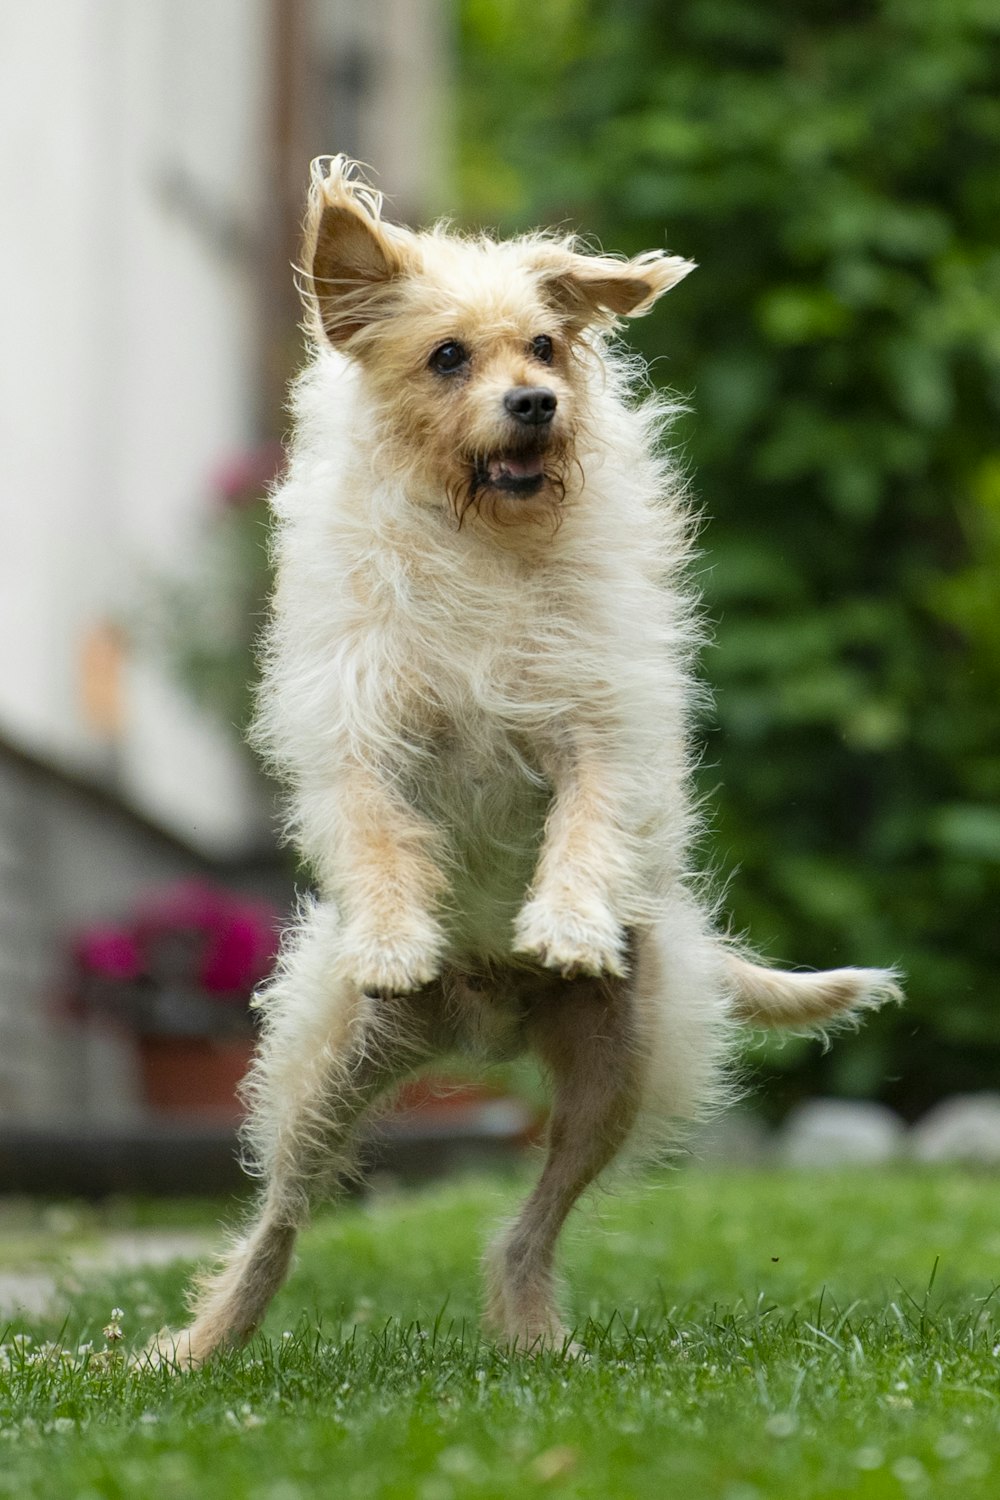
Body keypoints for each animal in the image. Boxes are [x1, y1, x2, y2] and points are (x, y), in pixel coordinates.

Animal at [146, 158, 899, 1368]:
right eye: (449, 355)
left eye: (545, 346)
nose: (537, 404)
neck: (484, 549)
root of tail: (481, 1023)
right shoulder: (361, 734)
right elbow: (376, 833)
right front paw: (395, 934)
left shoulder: (600, 726)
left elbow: (586, 823)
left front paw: (568, 922)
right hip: (328, 1075)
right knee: (281, 1218)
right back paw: (197, 1346)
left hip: (610, 1081)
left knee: (526, 1226)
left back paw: (535, 1339)